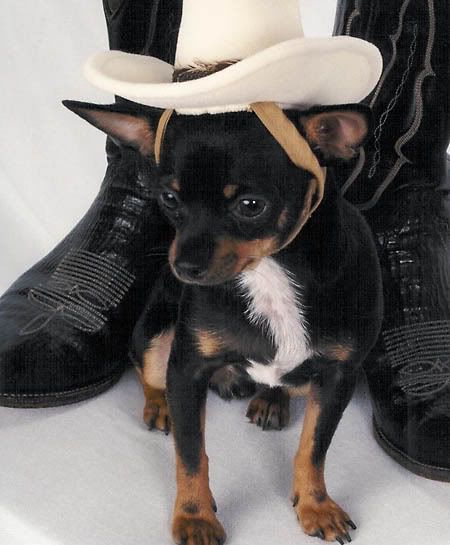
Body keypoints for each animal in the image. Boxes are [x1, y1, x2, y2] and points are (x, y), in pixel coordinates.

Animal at [66, 99, 384, 544]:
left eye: (251, 205)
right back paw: (161, 405)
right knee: (149, 373)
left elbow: (313, 448)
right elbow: (190, 455)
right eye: (169, 198)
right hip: (155, 338)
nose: (183, 267)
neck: (269, 273)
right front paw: (195, 517)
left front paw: (316, 506)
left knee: (283, 384)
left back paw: (271, 399)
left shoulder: (339, 376)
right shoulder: (187, 369)